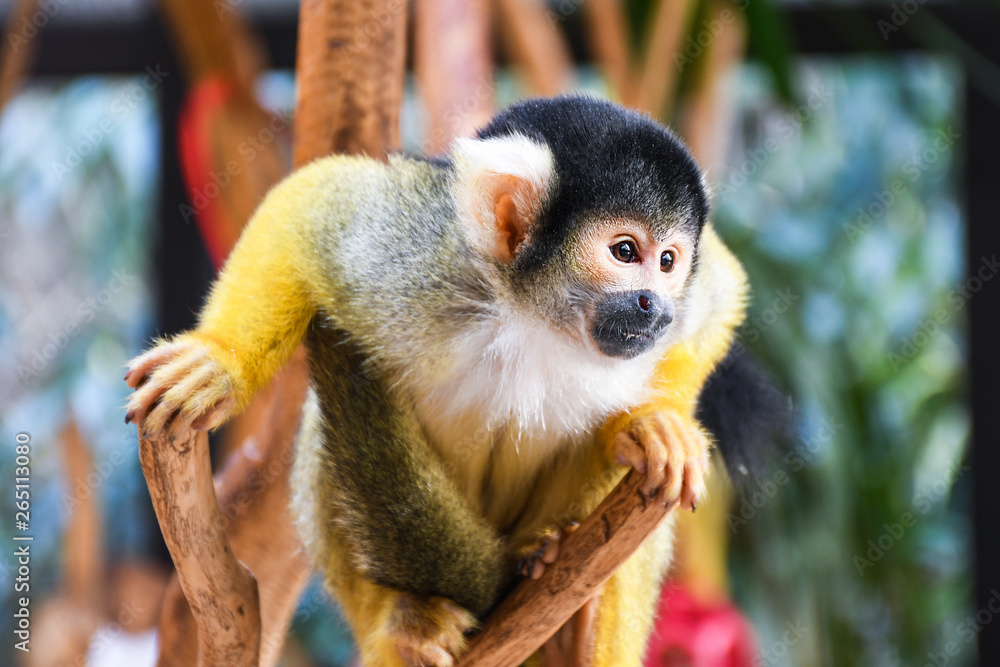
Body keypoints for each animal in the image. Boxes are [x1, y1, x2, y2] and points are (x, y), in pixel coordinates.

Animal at [125, 95, 758, 666]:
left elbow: (721, 288)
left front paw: (651, 422)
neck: (534, 316)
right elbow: (315, 203)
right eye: (626, 252)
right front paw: (219, 361)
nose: (656, 306)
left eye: (669, 261)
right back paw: (399, 626)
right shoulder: (426, 265)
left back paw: (568, 614)